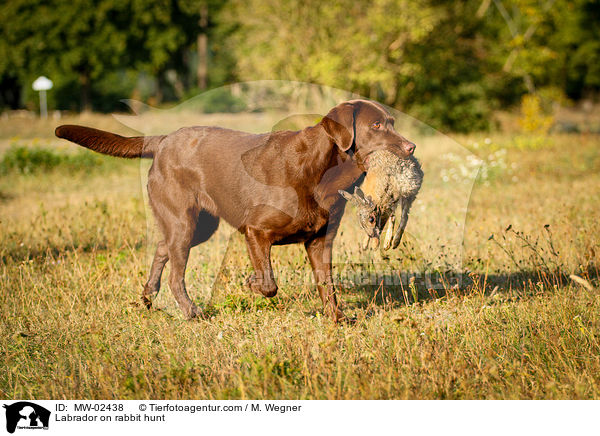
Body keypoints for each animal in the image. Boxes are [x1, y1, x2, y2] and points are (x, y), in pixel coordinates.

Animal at [55, 100, 412, 322]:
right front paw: (250, 283)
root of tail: (165, 139)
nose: (411, 147)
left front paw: (337, 318)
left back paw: (147, 297)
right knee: (175, 273)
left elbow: (328, 284)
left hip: (199, 226)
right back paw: (192, 312)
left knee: (161, 248)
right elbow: (268, 283)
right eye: (376, 125)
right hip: (184, 221)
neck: (322, 169)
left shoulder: (320, 240)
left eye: (393, 123)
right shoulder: (256, 231)